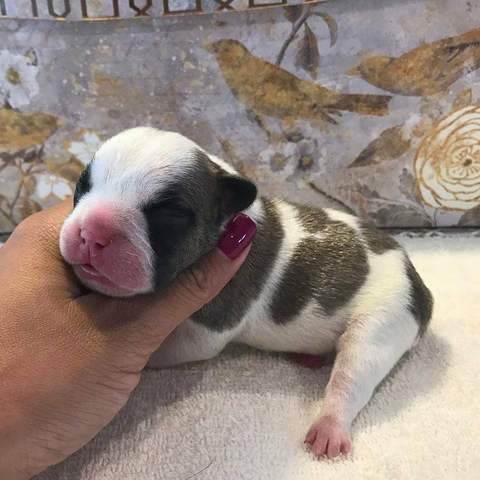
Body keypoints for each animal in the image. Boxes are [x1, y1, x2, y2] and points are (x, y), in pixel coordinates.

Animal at [59, 127, 432, 458]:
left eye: (170, 214)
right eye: (82, 185)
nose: (91, 232)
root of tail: (417, 282)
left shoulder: (207, 327)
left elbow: (171, 346)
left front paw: (146, 358)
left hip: (383, 322)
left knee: (353, 374)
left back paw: (330, 426)